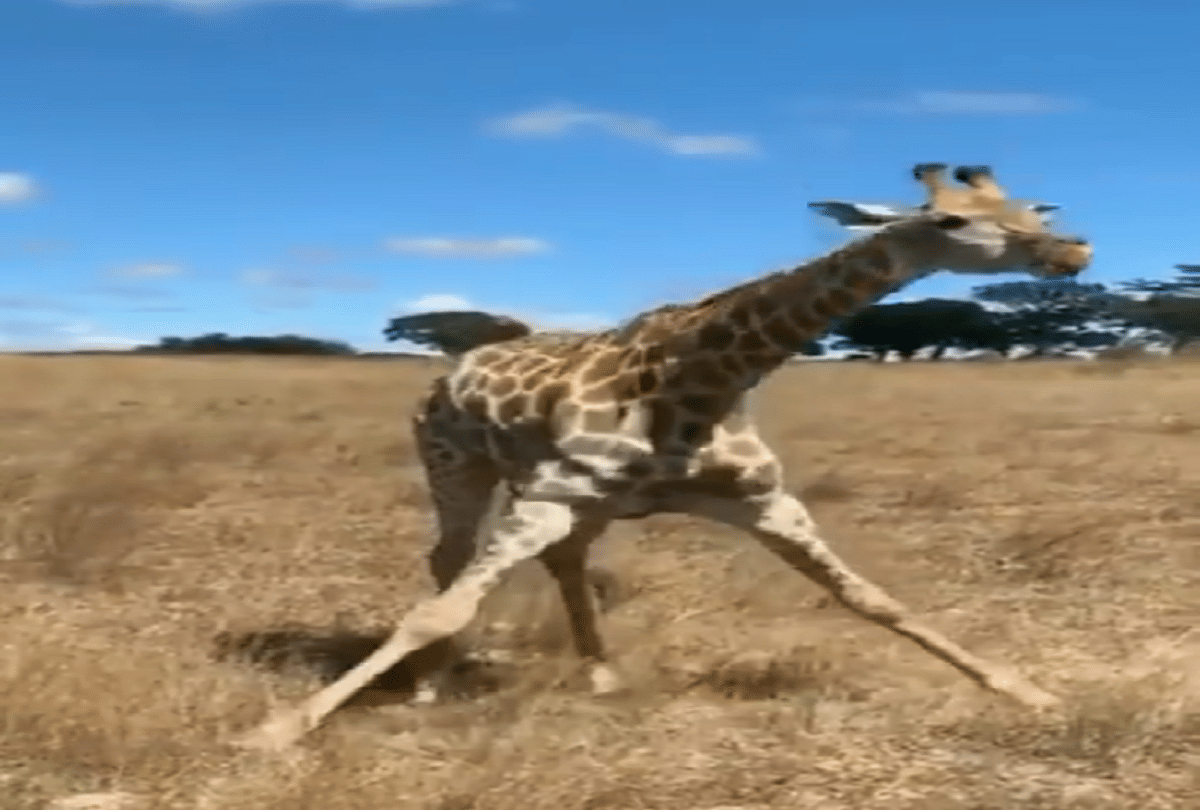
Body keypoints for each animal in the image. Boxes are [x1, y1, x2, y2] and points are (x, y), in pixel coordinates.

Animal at [236, 163, 1093, 750]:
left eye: (1028, 204)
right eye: (949, 220)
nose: (1072, 250)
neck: (707, 382)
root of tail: (453, 365)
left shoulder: (762, 501)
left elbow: (876, 599)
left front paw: (1031, 694)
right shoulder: (548, 496)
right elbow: (436, 610)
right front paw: (279, 731)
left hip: (579, 502)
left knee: (566, 563)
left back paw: (602, 675)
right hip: (457, 464)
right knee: (446, 562)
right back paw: (428, 686)